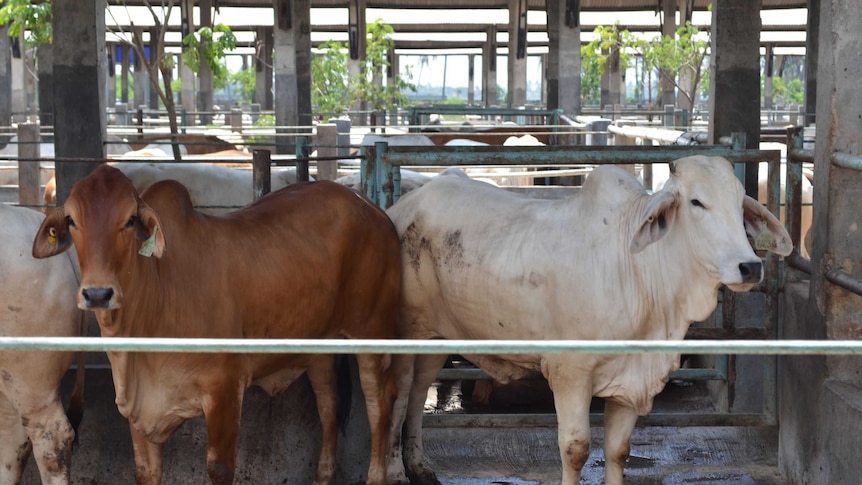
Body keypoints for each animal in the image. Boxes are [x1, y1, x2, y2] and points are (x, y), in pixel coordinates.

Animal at [31, 164, 402, 484]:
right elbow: (145, 471)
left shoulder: (225, 388)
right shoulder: (138, 410)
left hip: (373, 333)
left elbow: (220, 469)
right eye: (71, 220)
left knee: (380, 405)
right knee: (329, 408)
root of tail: (373, 209)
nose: (97, 294)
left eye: (130, 219)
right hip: (320, 348)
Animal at [388, 156, 792, 484]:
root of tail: (402, 207)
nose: (750, 266)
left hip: (436, 338)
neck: (638, 272)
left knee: (418, 391)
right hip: (407, 333)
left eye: (740, 202)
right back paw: (394, 470)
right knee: (399, 394)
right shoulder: (570, 374)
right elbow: (576, 450)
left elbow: (618, 452)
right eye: (696, 202)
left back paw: (419, 466)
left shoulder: (631, 383)